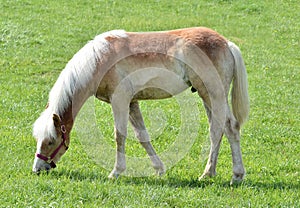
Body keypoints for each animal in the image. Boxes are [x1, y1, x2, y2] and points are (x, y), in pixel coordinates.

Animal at [31, 26, 250, 183]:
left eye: (50, 141)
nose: (37, 169)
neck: (100, 60)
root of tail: (227, 44)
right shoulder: (132, 103)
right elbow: (142, 136)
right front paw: (159, 170)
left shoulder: (119, 100)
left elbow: (120, 136)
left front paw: (116, 172)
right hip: (209, 99)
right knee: (225, 129)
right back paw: (232, 175)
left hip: (212, 95)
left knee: (222, 129)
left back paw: (212, 173)